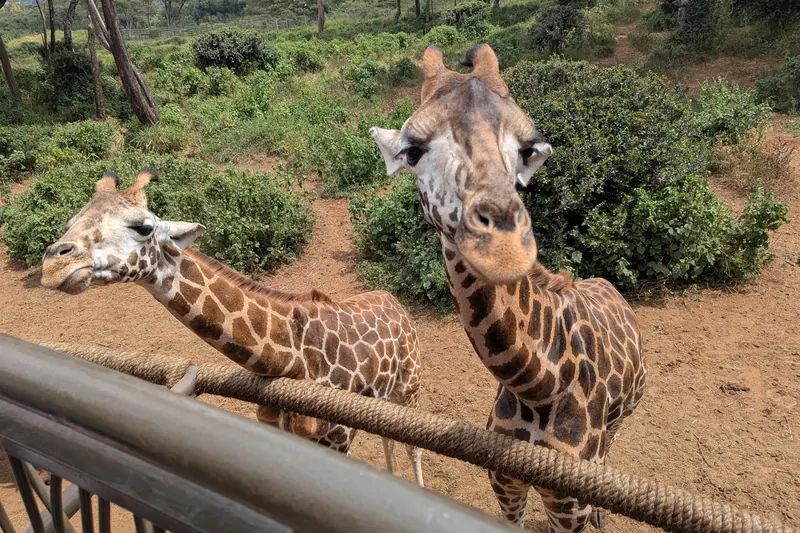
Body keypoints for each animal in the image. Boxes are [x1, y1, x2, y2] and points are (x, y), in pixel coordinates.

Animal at [39, 168, 424, 487]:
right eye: (71, 220)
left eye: (144, 227)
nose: (53, 266)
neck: (291, 360)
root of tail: (395, 302)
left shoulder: (339, 437)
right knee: (390, 437)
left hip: (409, 387)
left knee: (412, 446)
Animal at [369, 44, 646, 531]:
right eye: (412, 151)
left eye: (528, 149)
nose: (504, 248)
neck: (539, 386)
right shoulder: (505, 482)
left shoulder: (567, 503)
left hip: (624, 415)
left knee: (610, 452)